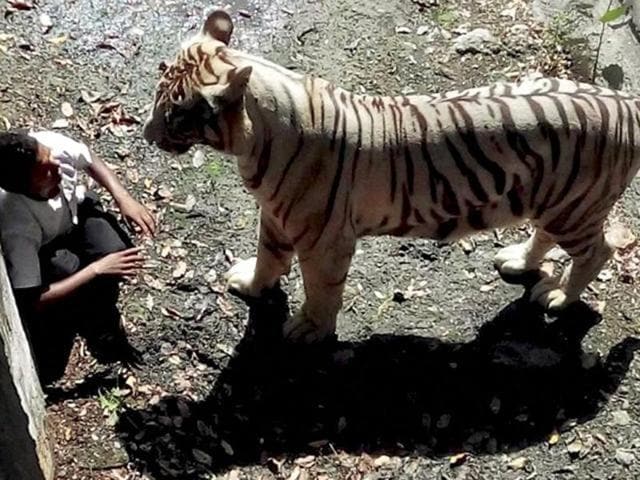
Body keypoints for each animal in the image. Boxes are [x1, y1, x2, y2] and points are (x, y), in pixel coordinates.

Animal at [143, 8, 640, 343]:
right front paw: (250, 283)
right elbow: (269, 256)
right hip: (548, 199)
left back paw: (559, 297)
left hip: (576, 207)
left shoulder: (324, 239)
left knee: (599, 251)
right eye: (157, 93)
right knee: (545, 235)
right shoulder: (277, 216)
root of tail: (625, 101)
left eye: (175, 115)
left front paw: (309, 330)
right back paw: (519, 261)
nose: (146, 135)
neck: (252, 141)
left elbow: (321, 288)